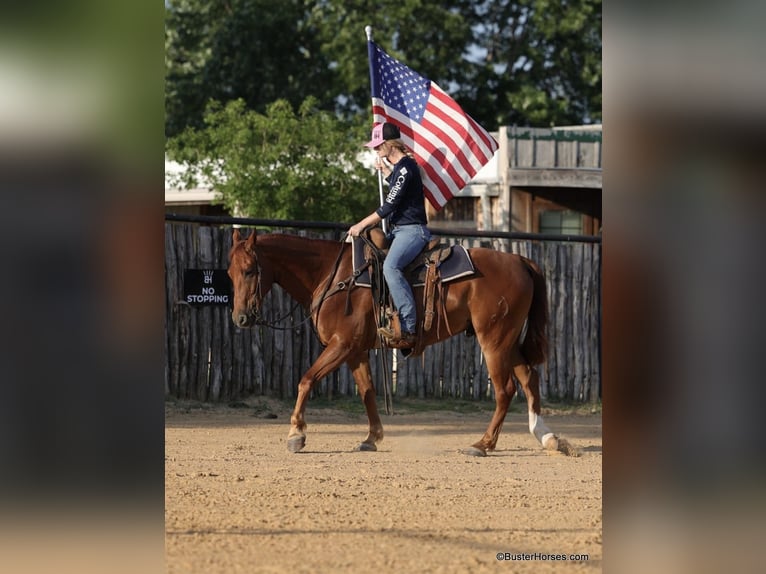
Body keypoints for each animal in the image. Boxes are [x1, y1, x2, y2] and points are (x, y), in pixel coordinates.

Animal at [228, 228, 566, 457]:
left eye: (250, 270)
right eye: (230, 273)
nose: (241, 318)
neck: (332, 276)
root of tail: (520, 260)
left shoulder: (341, 345)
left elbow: (306, 380)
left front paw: (296, 434)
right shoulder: (355, 351)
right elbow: (367, 392)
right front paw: (371, 438)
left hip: (494, 340)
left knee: (505, 388)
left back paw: (483, 444)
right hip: (507, 341)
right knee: (529, 378)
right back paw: (548, 438)